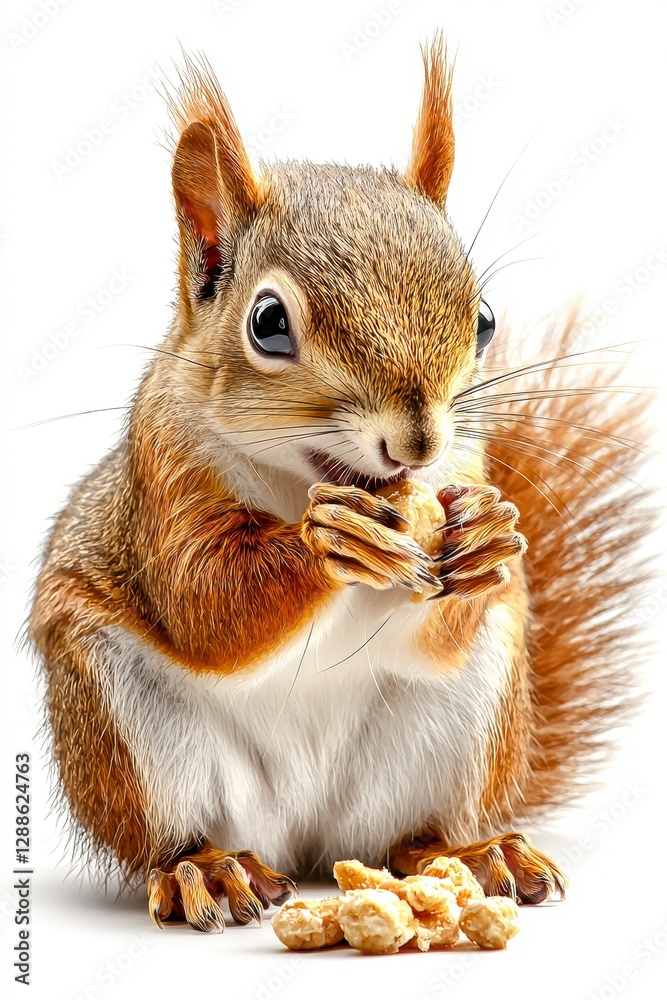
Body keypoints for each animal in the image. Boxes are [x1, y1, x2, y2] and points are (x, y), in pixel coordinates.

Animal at [29, 38, 649, 932]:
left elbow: (444, 616)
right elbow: (202, 599)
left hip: (462, 720)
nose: (418, 442)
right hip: (120, 718)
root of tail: (306, 843)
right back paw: (208, 869)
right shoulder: (164, 476)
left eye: (484, 319)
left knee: (411, 837)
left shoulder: (463, 474)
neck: (306, 481)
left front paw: (490, 537)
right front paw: (332, 542)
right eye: (266, 323)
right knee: (166, 835)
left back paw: (473, 854)